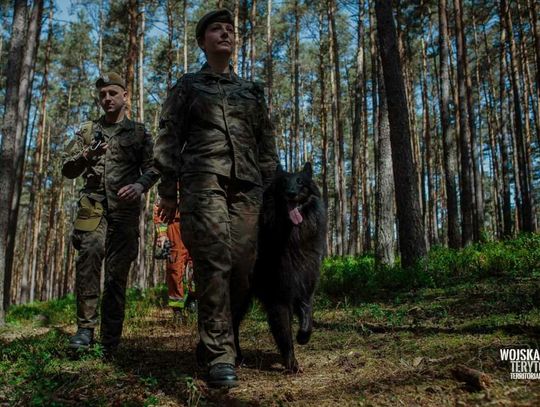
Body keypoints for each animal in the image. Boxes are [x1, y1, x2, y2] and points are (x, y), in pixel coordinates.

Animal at [235, 163, 324, 372]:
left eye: (300, 182)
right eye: (283, 183)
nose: (291, 193)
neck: (293, 238)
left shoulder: (304, 288)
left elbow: (308, 316)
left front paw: (303, 336)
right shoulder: (279, 298)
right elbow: (284, 334)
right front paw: (291, 363)